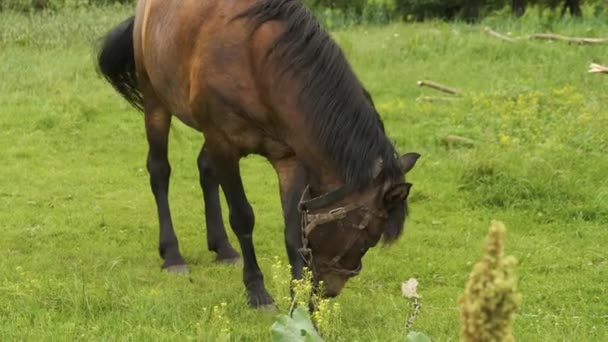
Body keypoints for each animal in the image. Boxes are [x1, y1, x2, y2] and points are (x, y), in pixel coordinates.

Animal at [96, 0, 418, 308]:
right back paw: (172, 254)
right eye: (368, 238)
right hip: (156, 103)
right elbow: (242, 217)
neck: (257, 65)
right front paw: (257, 290)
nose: (329, 291)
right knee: (160, 171)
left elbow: (293, 228)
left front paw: (298, 296)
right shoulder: (223, 142)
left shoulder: (289, 158)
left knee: (205, 169)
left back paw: (223, 248)